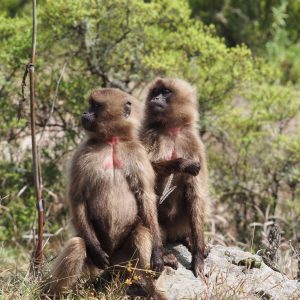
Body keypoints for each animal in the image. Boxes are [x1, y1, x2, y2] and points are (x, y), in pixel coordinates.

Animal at [47, 88, 168, 298]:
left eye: (95, 105)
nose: (84, 113)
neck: (111, 142)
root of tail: (111, 264)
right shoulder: (81, 155)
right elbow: (77, 198)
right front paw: (95, 249)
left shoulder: (138, 154)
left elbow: (145, 196)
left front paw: (158, 254)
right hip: (99, 264)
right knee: (77, 246)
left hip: (123, 264)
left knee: (142, 236)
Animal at [140, 77, 209, 276]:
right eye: (156, 92)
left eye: (165, 92)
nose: (155, 98)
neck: (171, 129)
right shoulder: (150, 135)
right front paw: (183, 163)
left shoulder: (194, 143)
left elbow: (195, 194)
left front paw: (198, 257)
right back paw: (164, 254)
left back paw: (189, 239)